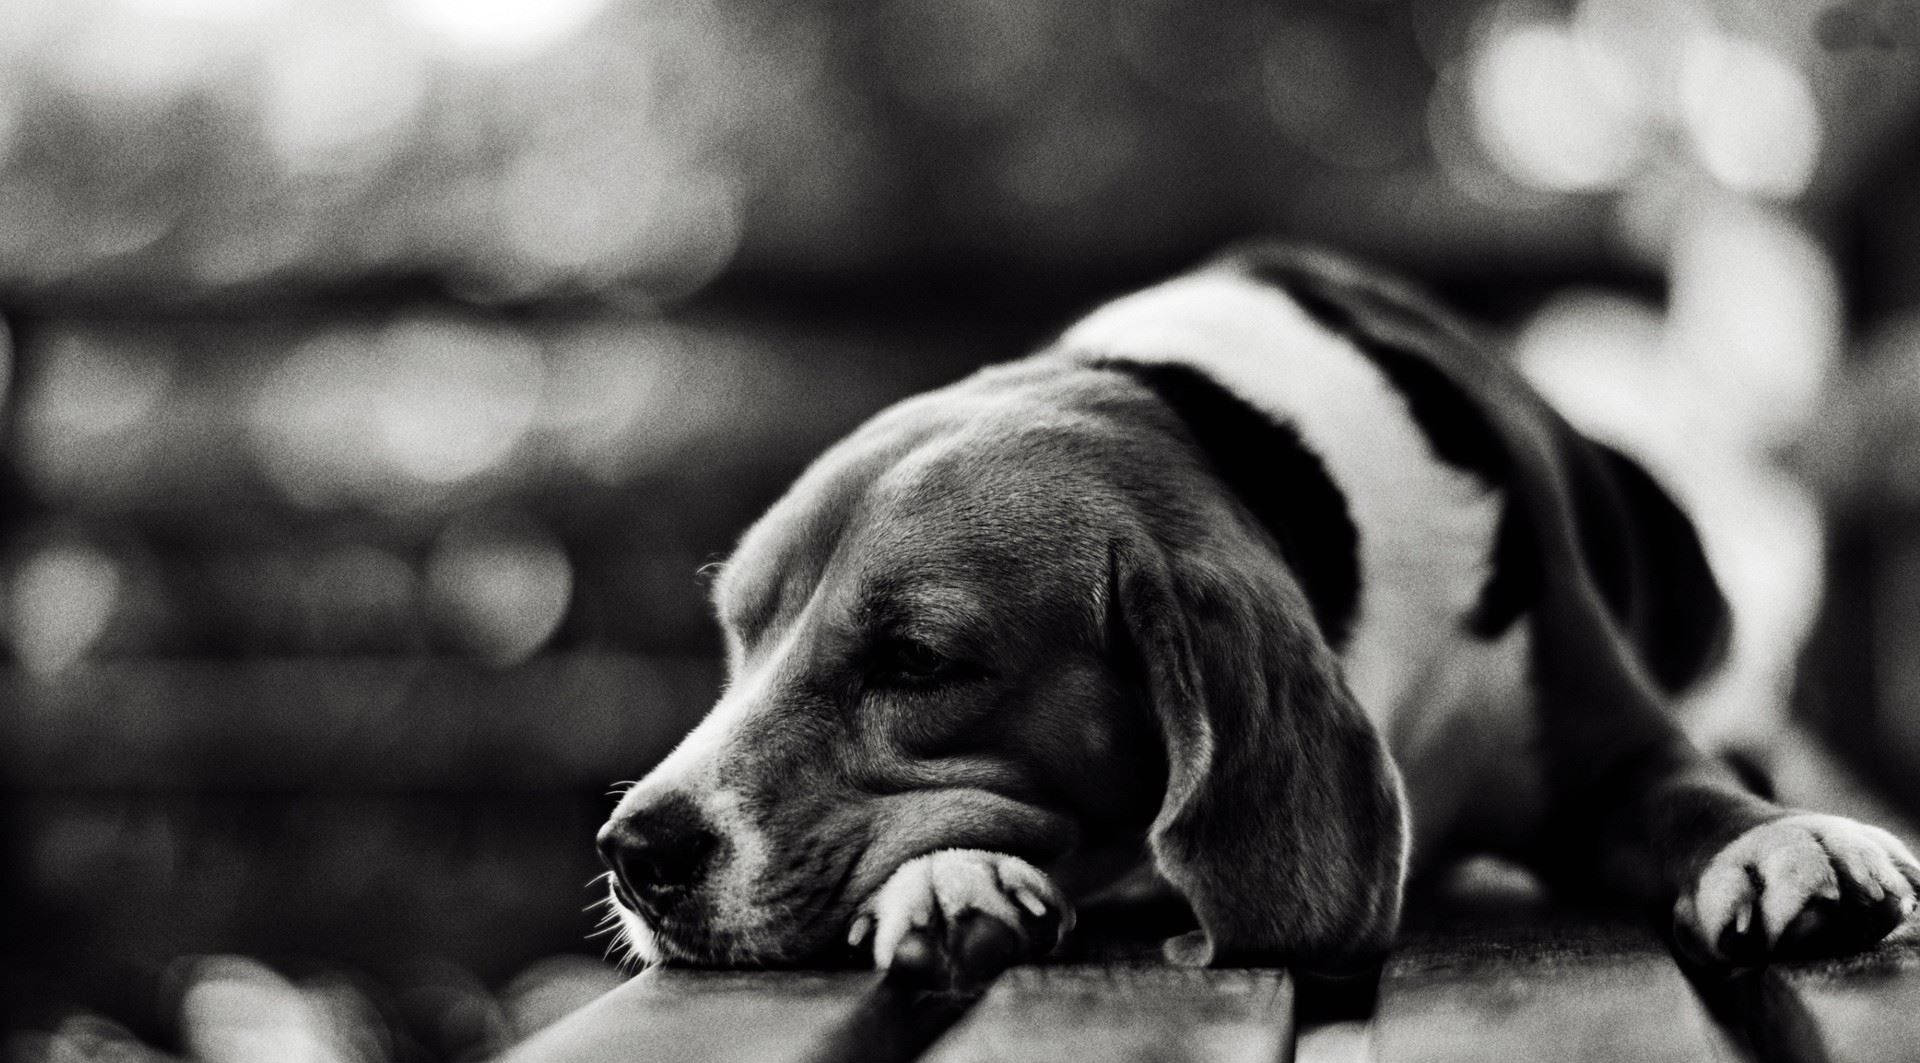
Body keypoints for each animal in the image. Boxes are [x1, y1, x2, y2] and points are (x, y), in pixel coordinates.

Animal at [591, 243, 1912, 982]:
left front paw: (1785, 842)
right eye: (737, 638)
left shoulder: (1608, 750)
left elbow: (1690, 794)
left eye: (915, 661)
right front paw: (949, 878)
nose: (632, 851)